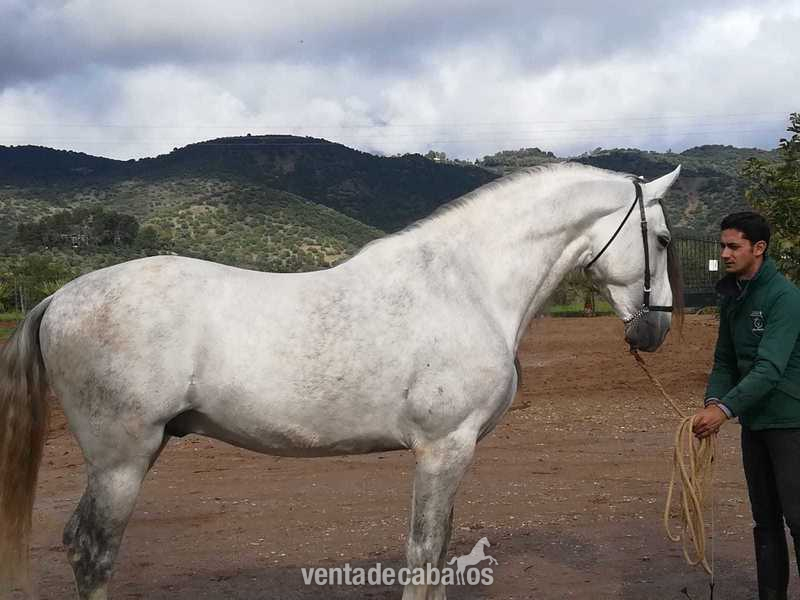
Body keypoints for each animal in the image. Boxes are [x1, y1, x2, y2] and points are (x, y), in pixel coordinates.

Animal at [0, 162, 682, 600]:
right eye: (662, 237)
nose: (656, 331)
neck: (467, 285)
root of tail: (59, 297)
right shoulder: (444, 449)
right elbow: (422, 554)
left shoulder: (452, 453)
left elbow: (437, 553)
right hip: (121, 461)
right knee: (92, 554)